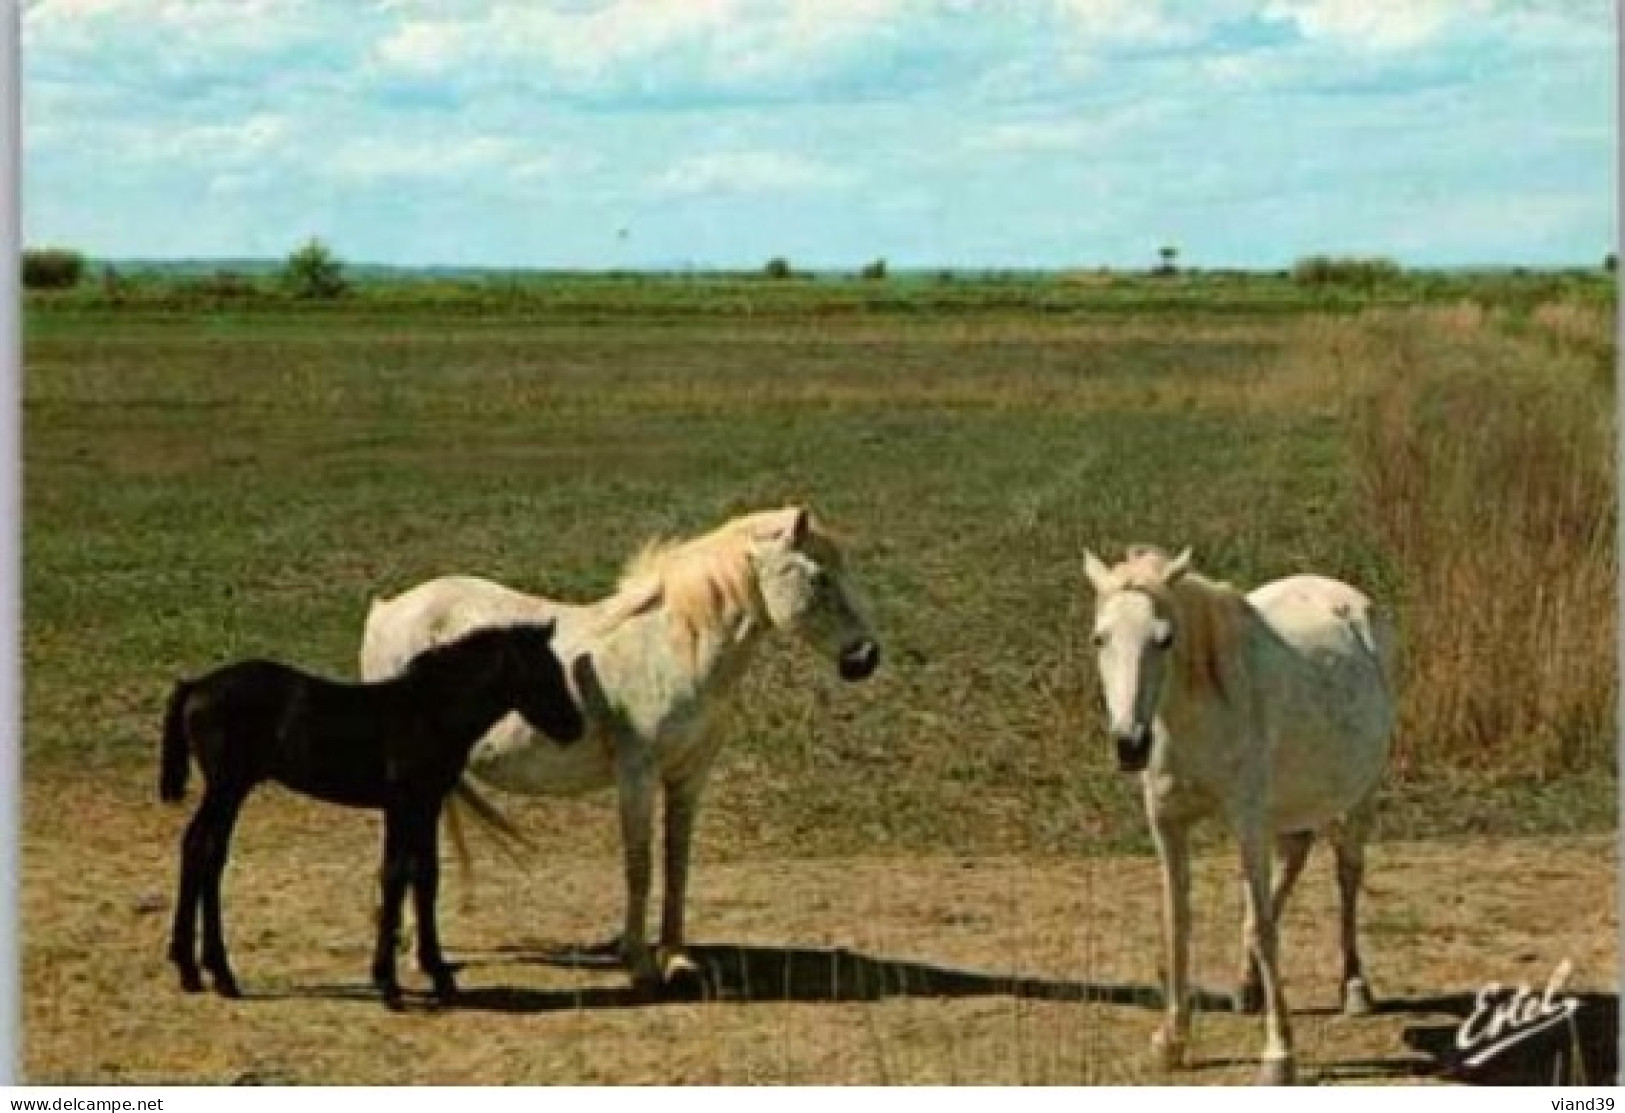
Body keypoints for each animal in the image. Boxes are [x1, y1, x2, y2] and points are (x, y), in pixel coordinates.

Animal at [158, 620, 588, 1013]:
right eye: (543, 673)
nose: (574, 727)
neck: (428, 712)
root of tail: (195, 685)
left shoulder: (426, 804)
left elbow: (426, 876)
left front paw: (439, 976)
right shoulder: (403, 803)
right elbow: (396, 874)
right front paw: (389, 985)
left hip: (227, 789)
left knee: (201, 850)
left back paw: (193, 971)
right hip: (227, 787)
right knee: (205, 850)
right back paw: (219, 973)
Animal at [362, 503, 884, 981]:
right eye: (819, 578)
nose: (866, 657)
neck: (675, 645)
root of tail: (388, 610)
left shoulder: (689, 777)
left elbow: (677, 864)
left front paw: (676, 958)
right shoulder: (638, 774)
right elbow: (640, 864)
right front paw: (637, 961)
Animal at [1085, 545, 1391, 1085]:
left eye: (1164, 639)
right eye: (1100, 638)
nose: (1129, 745)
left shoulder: (1247, 823)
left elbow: (1269, 931)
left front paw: (1279, 1056)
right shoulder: (1169, 825)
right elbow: (1179, 922)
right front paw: (1172, 1042)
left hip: (1354, 799)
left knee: (1347, 876)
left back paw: (1355, 988)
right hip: (1283, 814)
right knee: (1289, 865)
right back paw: (1247, 989)